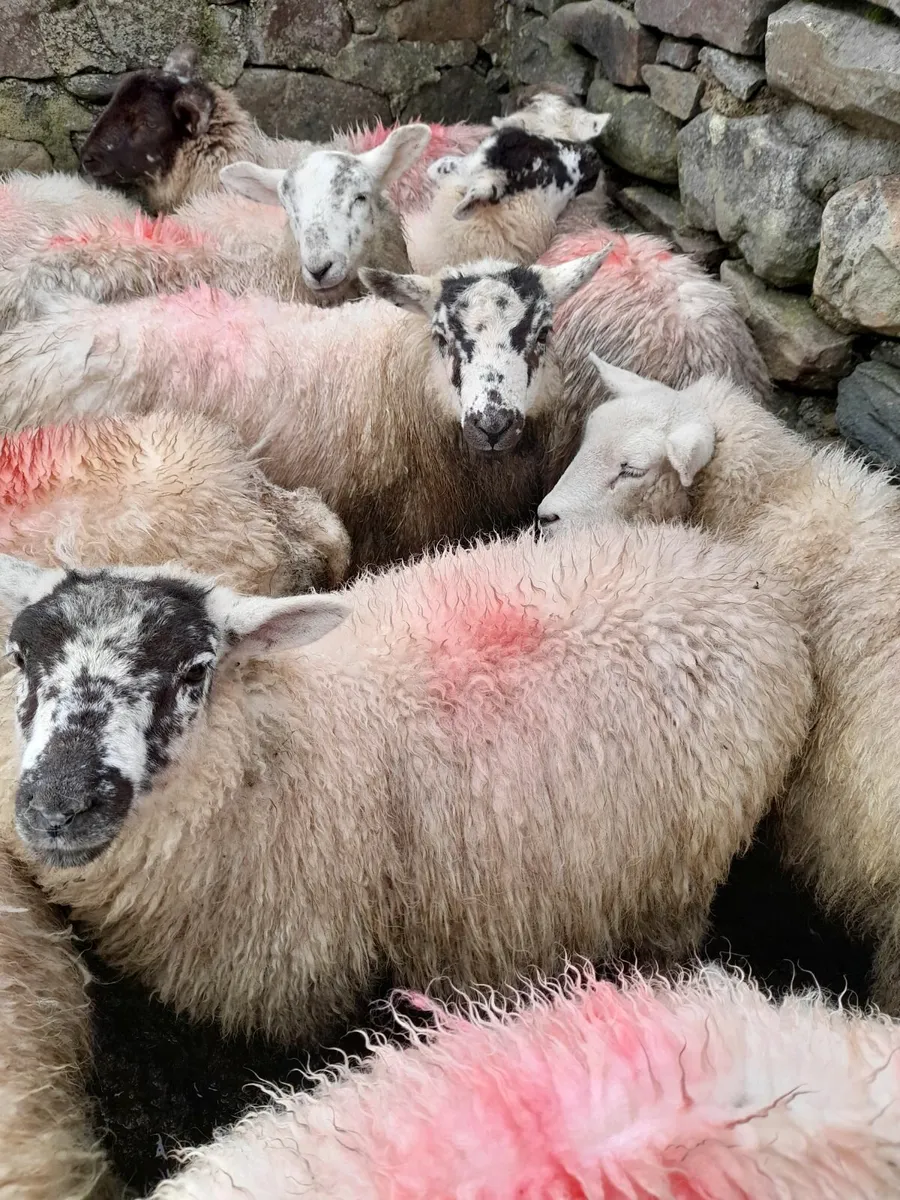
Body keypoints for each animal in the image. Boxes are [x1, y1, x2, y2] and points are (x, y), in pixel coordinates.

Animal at [0, 521, 811, 1040]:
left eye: (194, 672)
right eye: (20, 656)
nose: (59, 807)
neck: (289, 735)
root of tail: (733, 567)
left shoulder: (308, 977)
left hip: (679, 871)